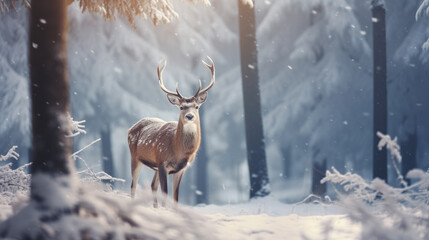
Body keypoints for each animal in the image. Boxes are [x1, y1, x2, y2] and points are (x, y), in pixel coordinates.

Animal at [126, 55, 214, 207]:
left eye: (196, 106)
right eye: (181, 107)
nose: (189, 116)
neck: (178, 150)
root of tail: (130, 128)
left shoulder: (181, 169)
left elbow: (175, 198)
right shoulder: (163, 163)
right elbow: (165, 195)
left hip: (153, 164)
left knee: (152, 185)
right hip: (135, 157)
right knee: (133, 185)